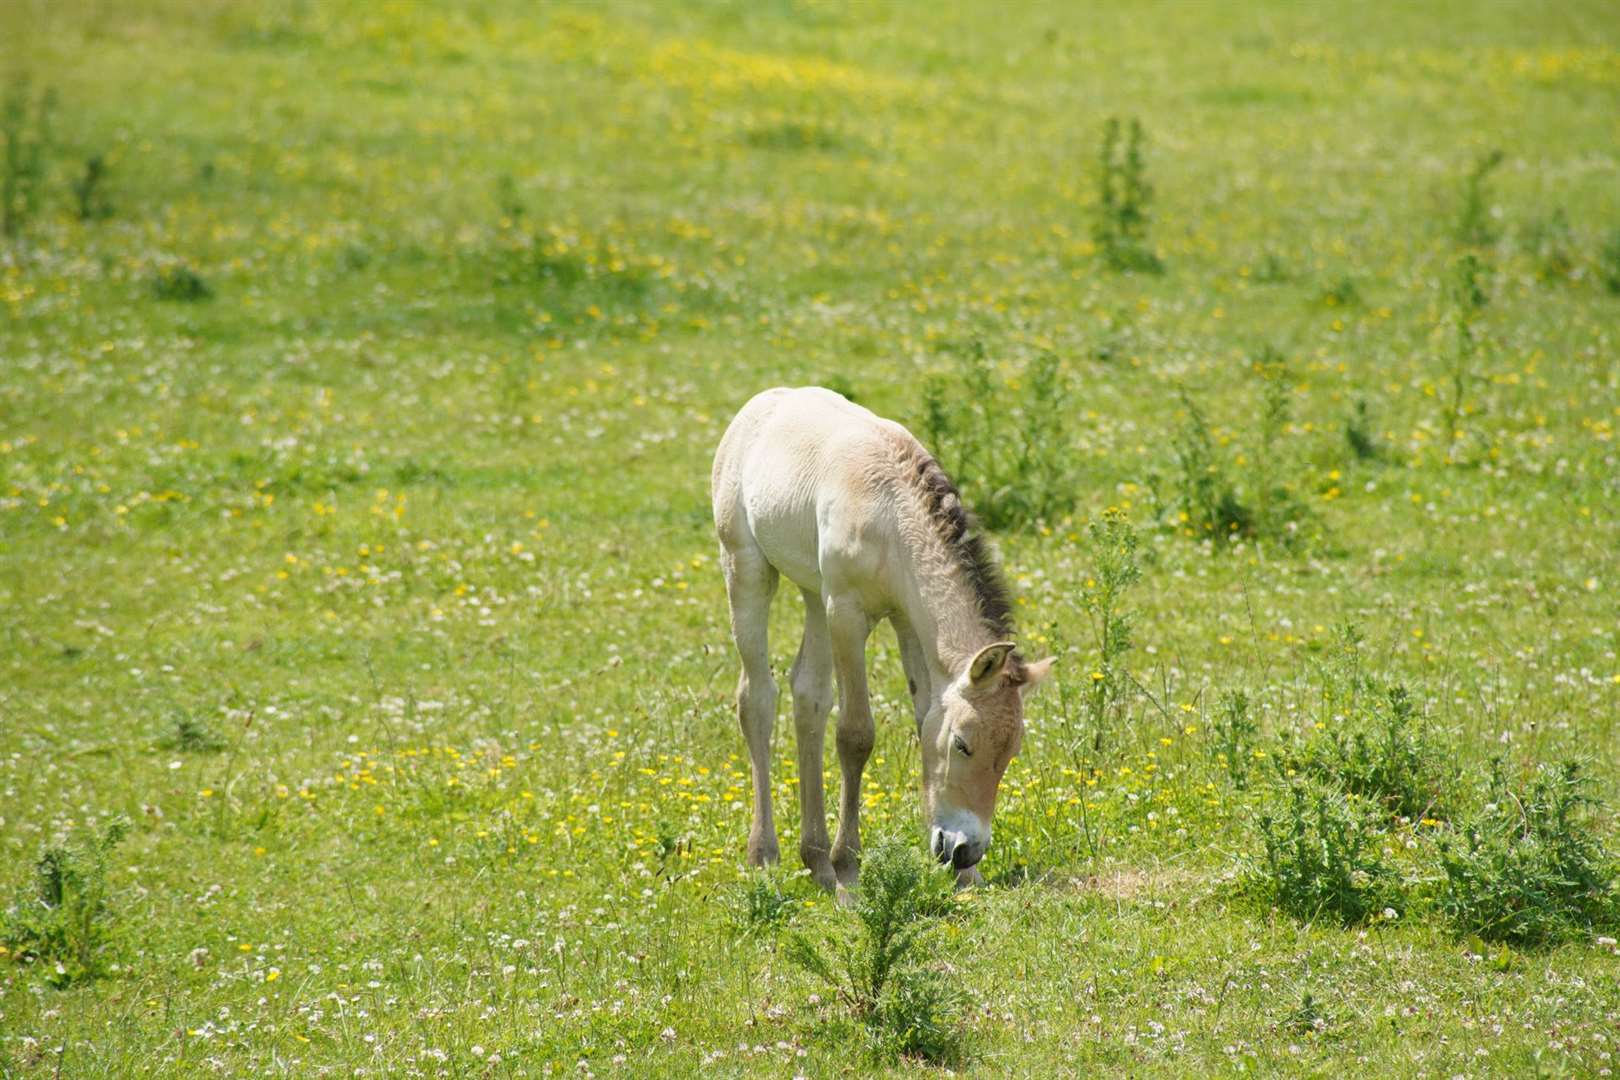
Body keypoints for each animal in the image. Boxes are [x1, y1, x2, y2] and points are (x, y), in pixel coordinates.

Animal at [709, 383, 1049, 893]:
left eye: (1010, 753)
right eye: (962, 744)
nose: (965, 849)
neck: (891, 515)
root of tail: (763, 402)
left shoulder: (906, 620)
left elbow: (923, 713)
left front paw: (966, 877)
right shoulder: (848, 614)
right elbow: (855, 734)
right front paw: (849, 867)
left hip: (814, 594)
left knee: (807, 696)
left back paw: (815, 861)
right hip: (747, 569)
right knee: (757, 700)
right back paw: (767, 855)